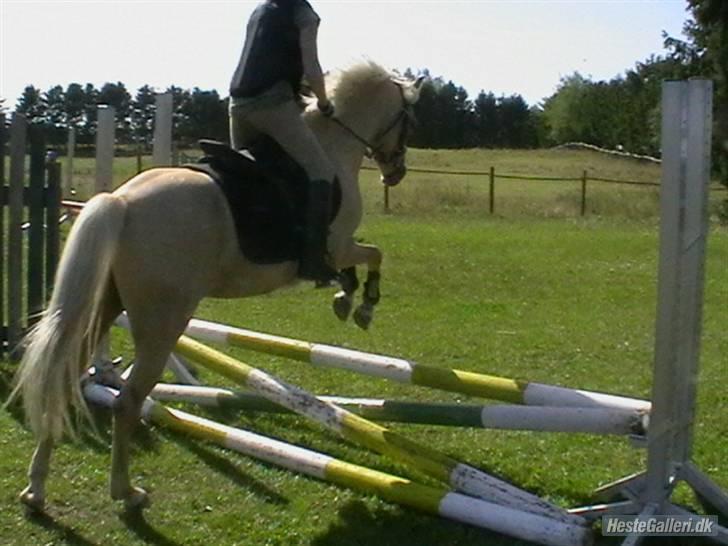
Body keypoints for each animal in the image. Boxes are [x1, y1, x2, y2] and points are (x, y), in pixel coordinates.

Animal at [10, 61, 424, 512]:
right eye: (408, 120)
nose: (396, 172)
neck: (333, 144)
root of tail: (122, 202)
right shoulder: (340, 244)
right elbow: (373, 256)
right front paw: (360, 304)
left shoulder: (339, 249)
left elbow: (355, 265)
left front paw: (345, 297)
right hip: (162, 323)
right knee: (128, 401)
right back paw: (126, 491)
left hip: (103, 306)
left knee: (63, 373)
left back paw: (36, 488)